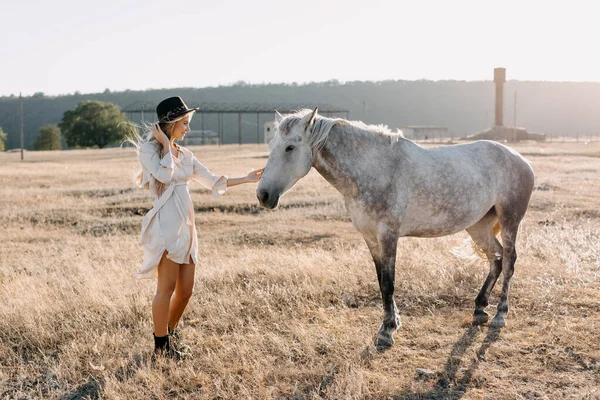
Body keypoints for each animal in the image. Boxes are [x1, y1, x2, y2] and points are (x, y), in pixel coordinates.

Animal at [256, 108, 536, 348]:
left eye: (290, 147)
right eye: (271, 146)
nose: (263, 195)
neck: (374, 170)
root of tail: (521, 160)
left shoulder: (388, 235)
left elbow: (389, 283)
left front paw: (387, 331)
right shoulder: (371, 238)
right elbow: (381, 281)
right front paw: (392, 322)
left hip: (509, 221)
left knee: (508, 261)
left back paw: (500, 314)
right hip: (479, 226)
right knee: (495, 259)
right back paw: (479, 308)